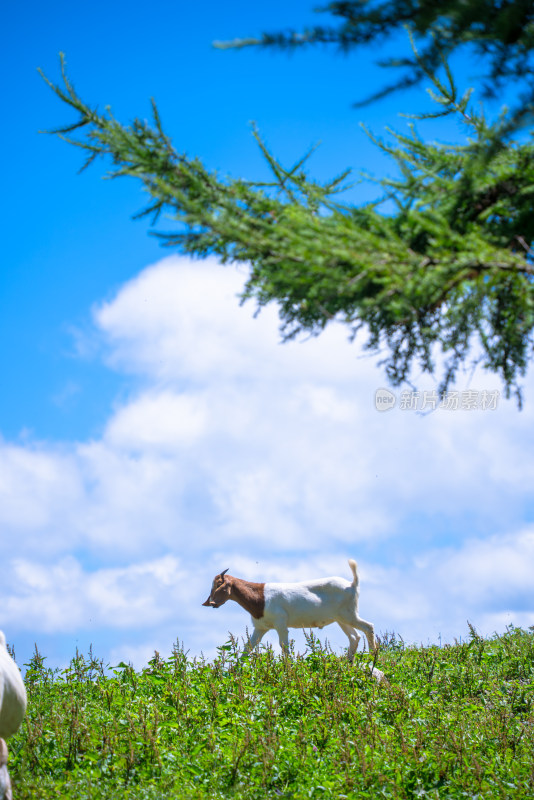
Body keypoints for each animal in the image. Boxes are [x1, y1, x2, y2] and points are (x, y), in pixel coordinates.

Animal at [202, 556, 386, 680]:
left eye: (220, 584)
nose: (211, 603)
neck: (260, 598)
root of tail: (352, 584)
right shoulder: (260, 627)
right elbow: (248, 647)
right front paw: (233, 671)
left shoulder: (281, 624)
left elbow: (284, 647)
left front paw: (289, 671)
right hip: (341, 618)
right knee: (355, 637)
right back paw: (349, 664)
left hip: (349, 614)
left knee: (368, 627)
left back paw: (373, 658)